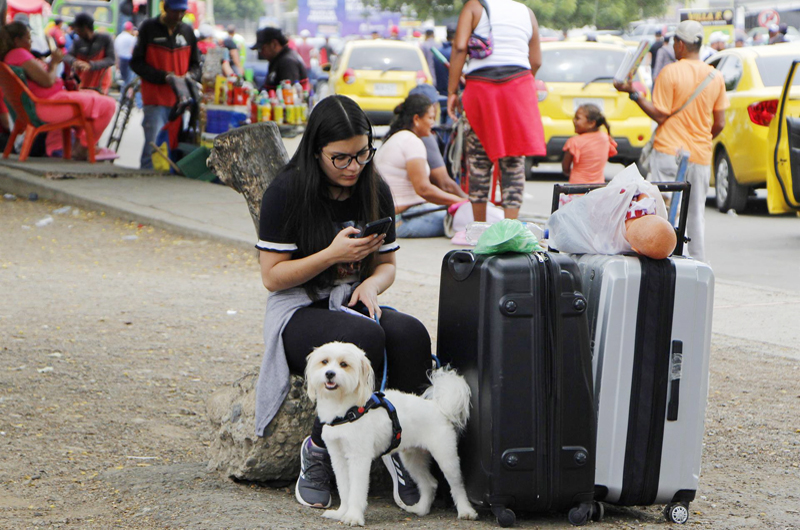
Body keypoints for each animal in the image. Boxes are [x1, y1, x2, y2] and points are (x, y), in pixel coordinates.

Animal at [304, 340, 482, 520]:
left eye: (344, 364)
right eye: (324, 361)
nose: (329, 374)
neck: (345, 409)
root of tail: (437, 406)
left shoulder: (359, 457)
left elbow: (356, 489)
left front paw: (353, 516)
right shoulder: (338, 457)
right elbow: (344, 488)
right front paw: (341, 512)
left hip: (445, 456)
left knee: (457, 485)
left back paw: (466, 511)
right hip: (412, 458)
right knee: (430, 484)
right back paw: (421, 509)